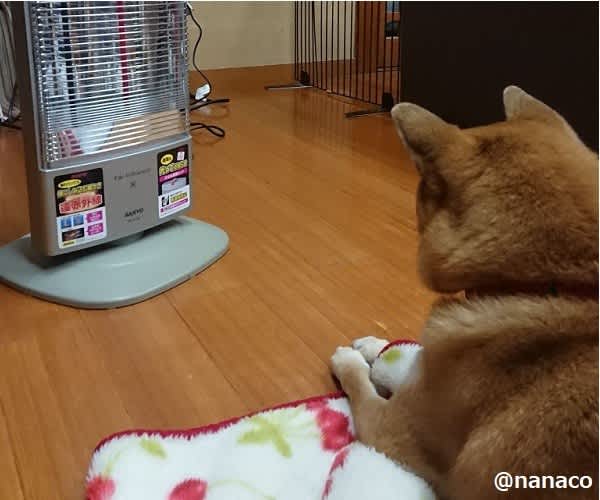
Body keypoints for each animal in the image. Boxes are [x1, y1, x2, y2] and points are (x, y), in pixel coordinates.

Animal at [331, 86, 598, 500]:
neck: (551, 284)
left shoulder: (393, 431)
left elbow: (362, 382)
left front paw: (352, 359)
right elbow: (408, 359)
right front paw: (379, 348)